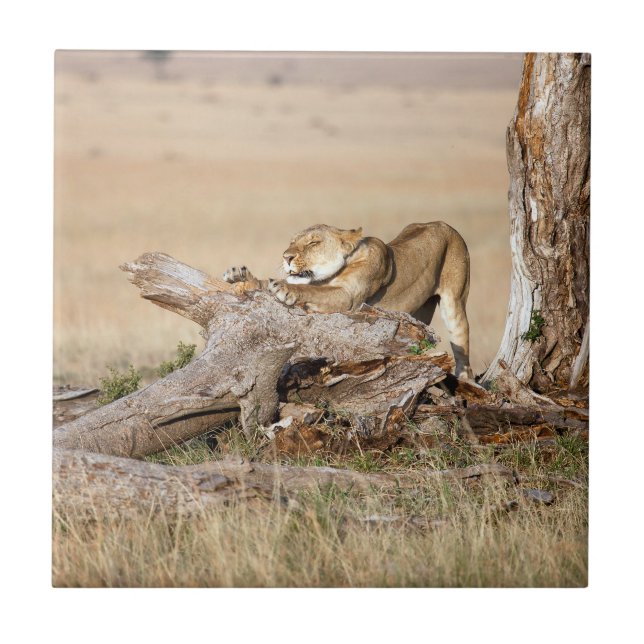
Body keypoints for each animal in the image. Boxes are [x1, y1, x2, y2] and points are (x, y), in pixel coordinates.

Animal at [222, 222, 473, 379]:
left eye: (313, 243)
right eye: (292, 242)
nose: (286, 257)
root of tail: (443, 223)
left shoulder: (348, 297)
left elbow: (310, 291)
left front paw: (284, 288)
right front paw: (240, 276)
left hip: (455, 302)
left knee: (462, 350)